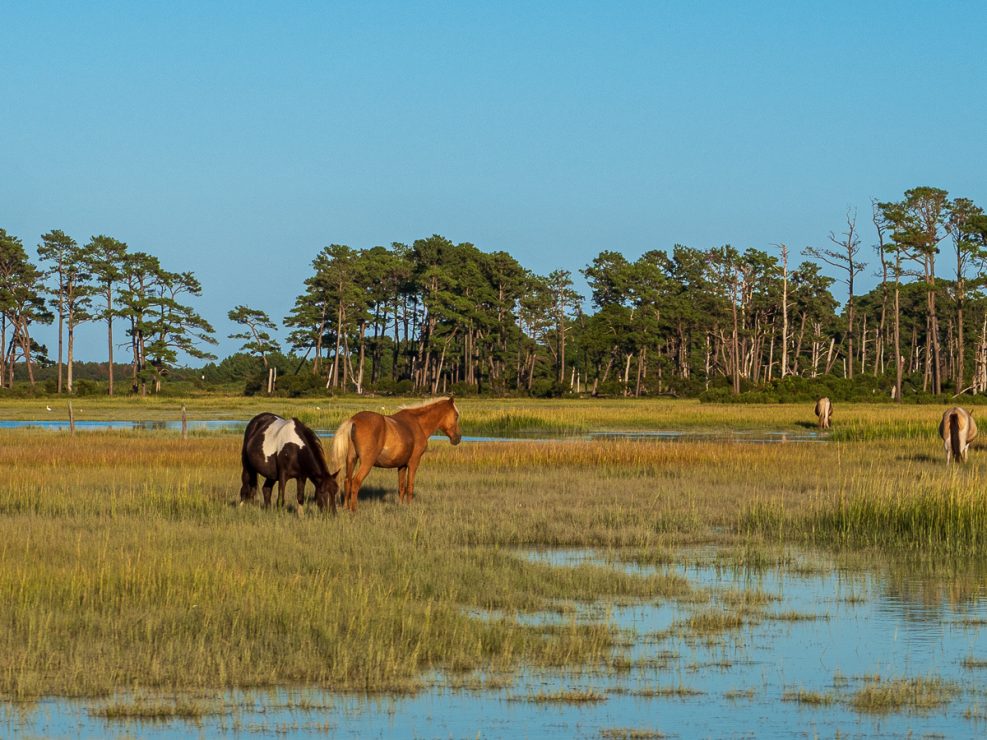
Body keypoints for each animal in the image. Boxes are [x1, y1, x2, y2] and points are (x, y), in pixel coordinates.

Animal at [330, 397, 461, 512]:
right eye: (456, 416)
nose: (458, 438)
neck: (418, 423)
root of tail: (354, 421)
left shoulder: (402, 465)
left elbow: (401, 487)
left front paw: (401, 505)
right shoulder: (413, 462)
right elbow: (410, 485)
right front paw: (409, 506)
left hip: (351, 459)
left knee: (348, 481)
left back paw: (346, 507)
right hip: (367, 463)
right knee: (356, 482)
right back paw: (353, 509)